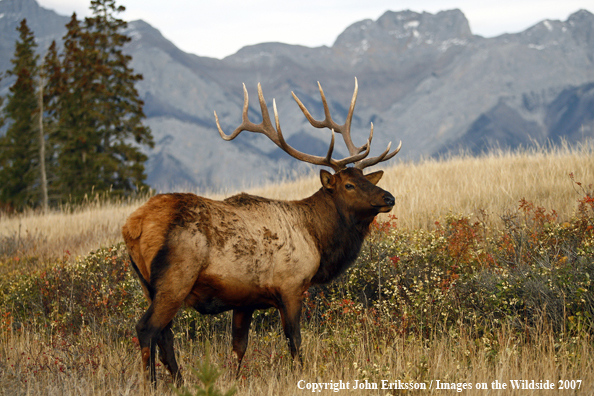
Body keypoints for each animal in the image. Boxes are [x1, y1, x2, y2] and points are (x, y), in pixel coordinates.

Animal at [121, 79, 400, 386]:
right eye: (349, 185)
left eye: (366, 179)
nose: (388, 198)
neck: (317, 239)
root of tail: (133, 225)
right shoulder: (291, 285)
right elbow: (294, 340)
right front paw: (300, 375)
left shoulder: (245, 299)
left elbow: (238, 348)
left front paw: (231, 381)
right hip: (176, 278)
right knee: (147, 328)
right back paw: (152, 383)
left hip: (147, 284)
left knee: (165, 335)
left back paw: (180, 382)